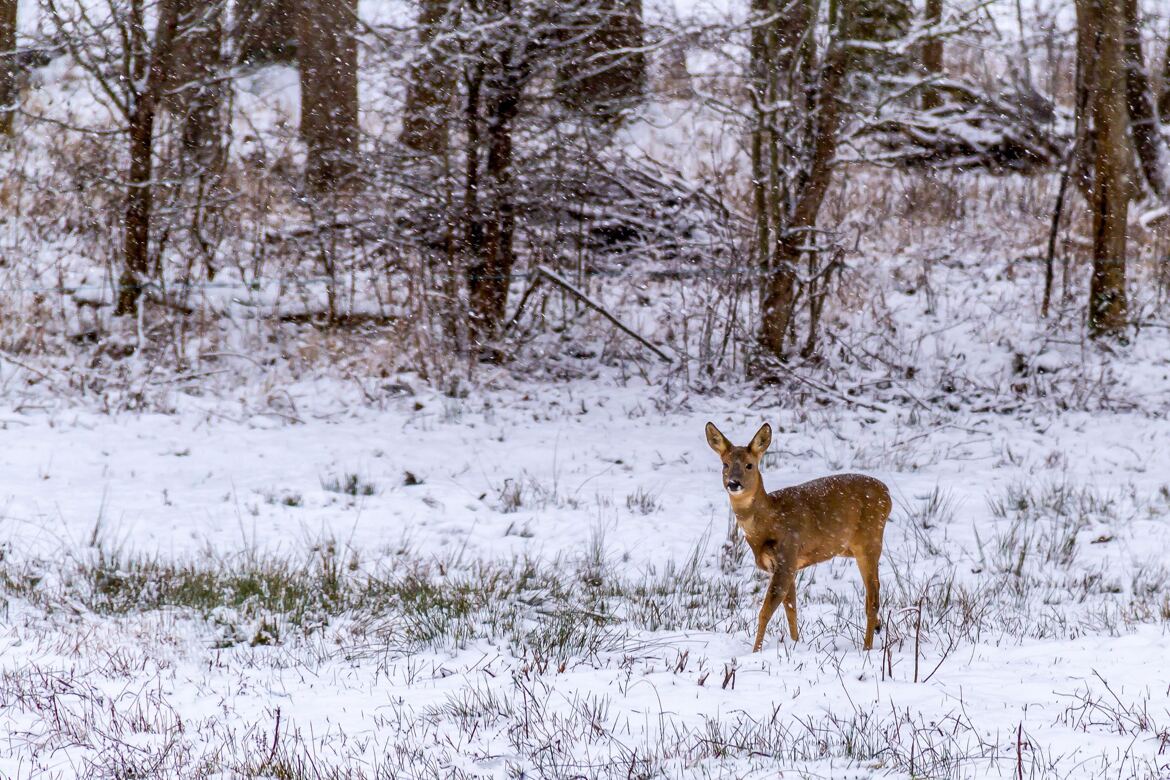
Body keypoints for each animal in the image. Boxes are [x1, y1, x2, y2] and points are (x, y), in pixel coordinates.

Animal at [702, 420, 893, 654]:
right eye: (725, 464)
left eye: (750, 465)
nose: (733, 483)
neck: (769, 520)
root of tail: (887, 494)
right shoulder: (784, 565)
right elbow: (790, 608)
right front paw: (794, 644)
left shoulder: (787, 554)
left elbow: (765, 611)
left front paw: (755, 652)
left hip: (870, 540)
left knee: (873, 598)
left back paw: (866, 648)